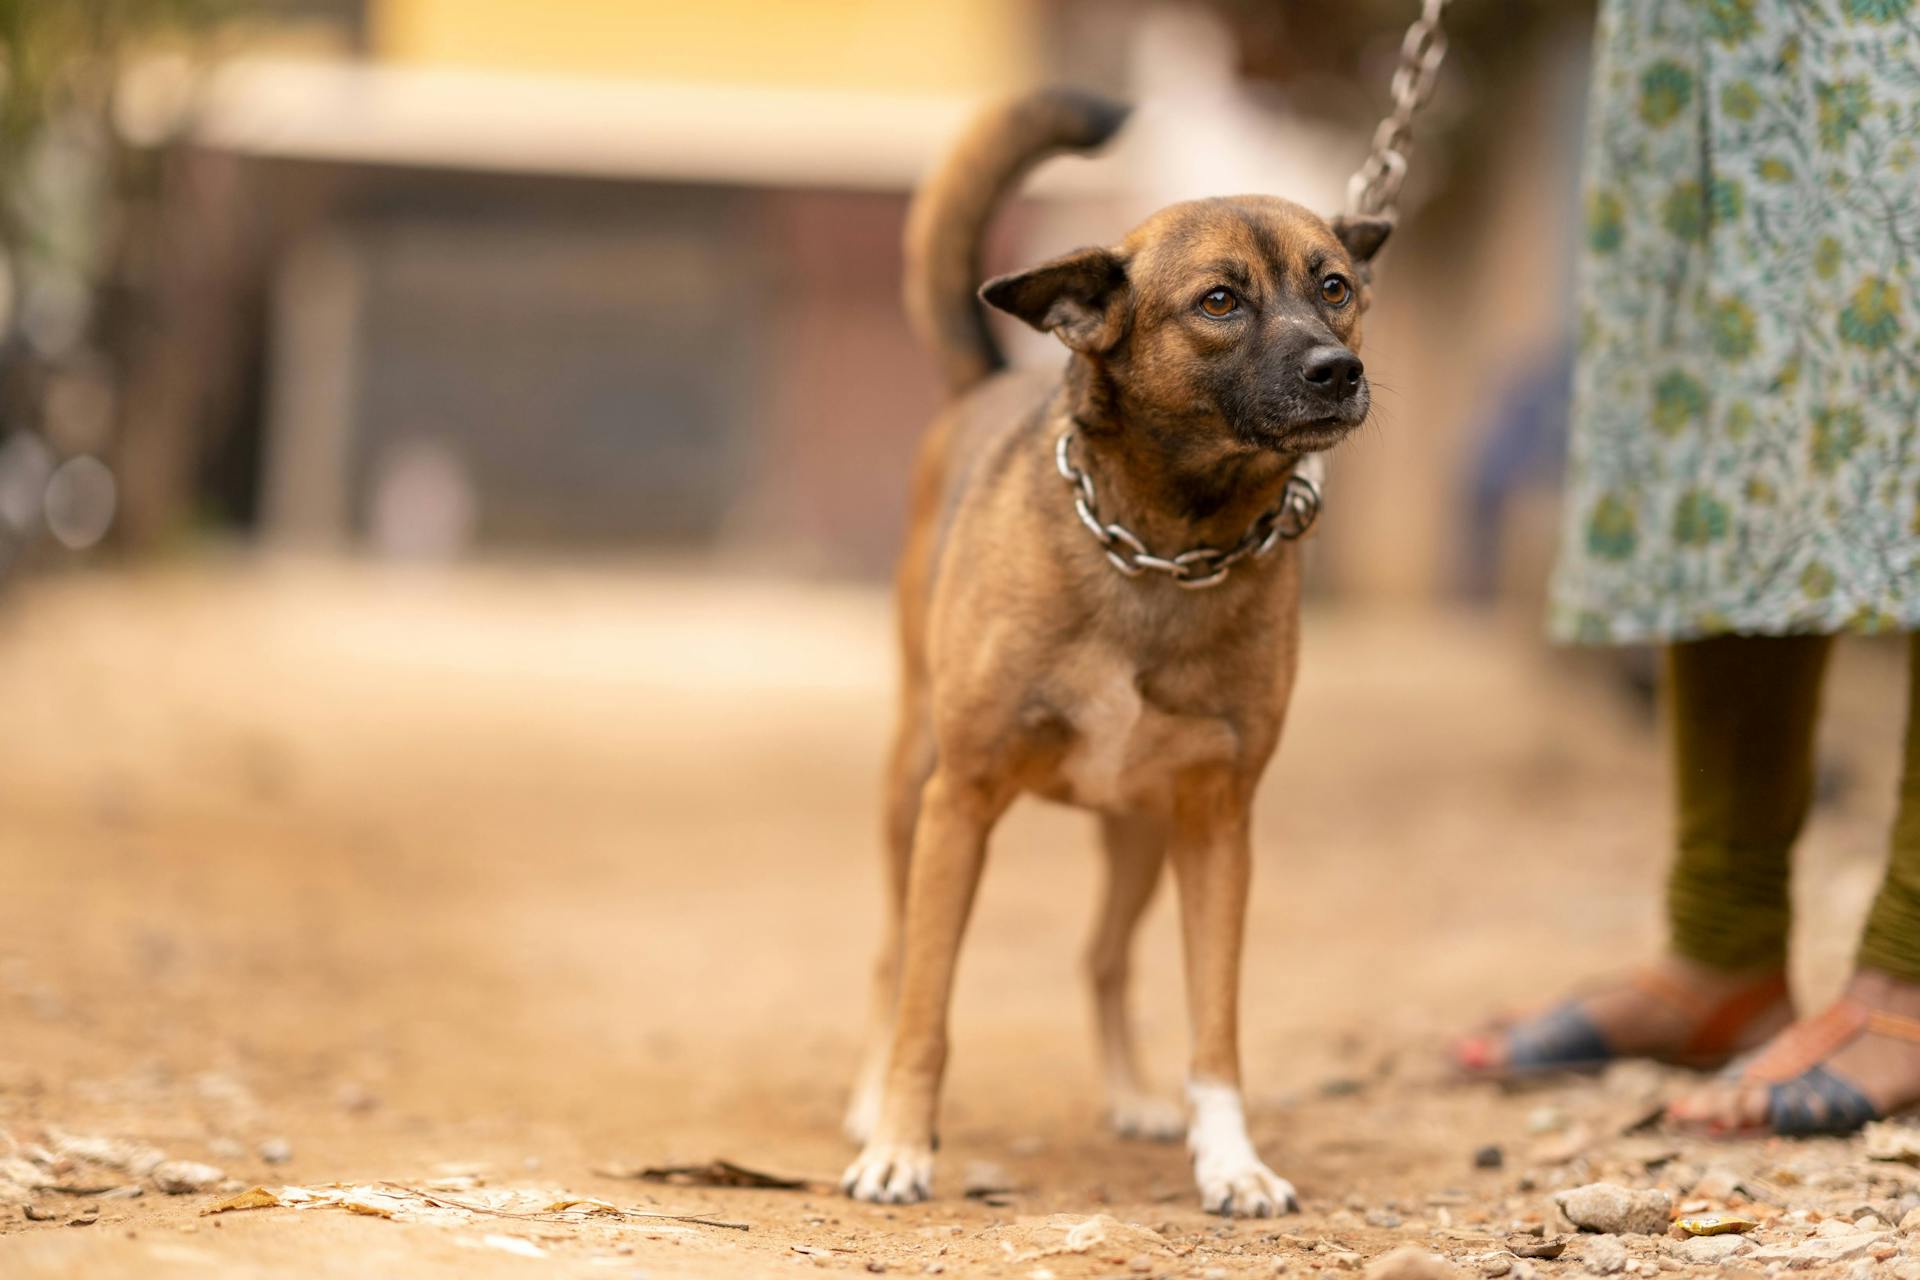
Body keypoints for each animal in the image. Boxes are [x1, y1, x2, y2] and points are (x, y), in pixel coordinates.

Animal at [840, 87, 1382, 1212]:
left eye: (1336, 288)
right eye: (1219, 300)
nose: (1340, 370)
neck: (1166, 547)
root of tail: (984, 379)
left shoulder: (1219, 823)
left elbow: (1215, 1025)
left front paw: (1231, 1159)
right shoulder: (960, 801)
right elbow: (927, 1005)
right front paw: (903, 1143)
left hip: (1141, 827)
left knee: (1102, 956)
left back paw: (1133, 1094)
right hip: (910, 782)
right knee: (889, 954)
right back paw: (870, 1103)